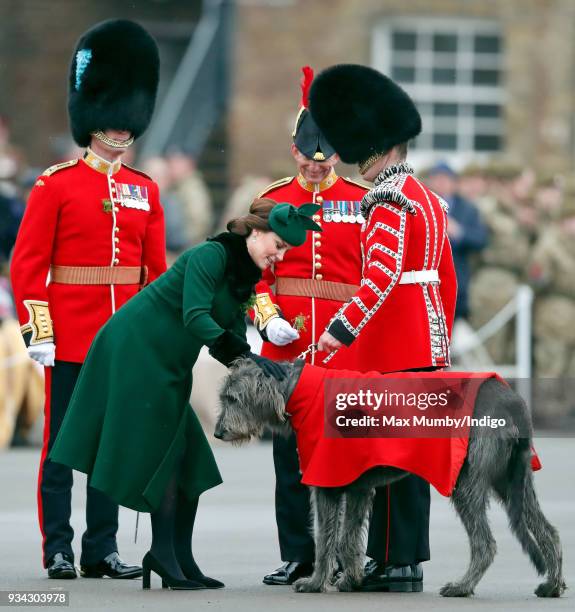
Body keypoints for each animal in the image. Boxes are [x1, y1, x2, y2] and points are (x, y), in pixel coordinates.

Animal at [216, 358, 568, 596]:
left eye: (233, 398)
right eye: (224, 397)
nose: (218, 432)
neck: (300, 390)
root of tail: (512, 400)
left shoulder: (327, 483)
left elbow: (326, 539)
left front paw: (315, 583)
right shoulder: (358, 486)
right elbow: (348, 538)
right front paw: (351, 579)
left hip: (466, 481)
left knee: (485, 543)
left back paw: (462, 586)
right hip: (513, 481)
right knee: (548, 530)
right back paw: (552, 584)